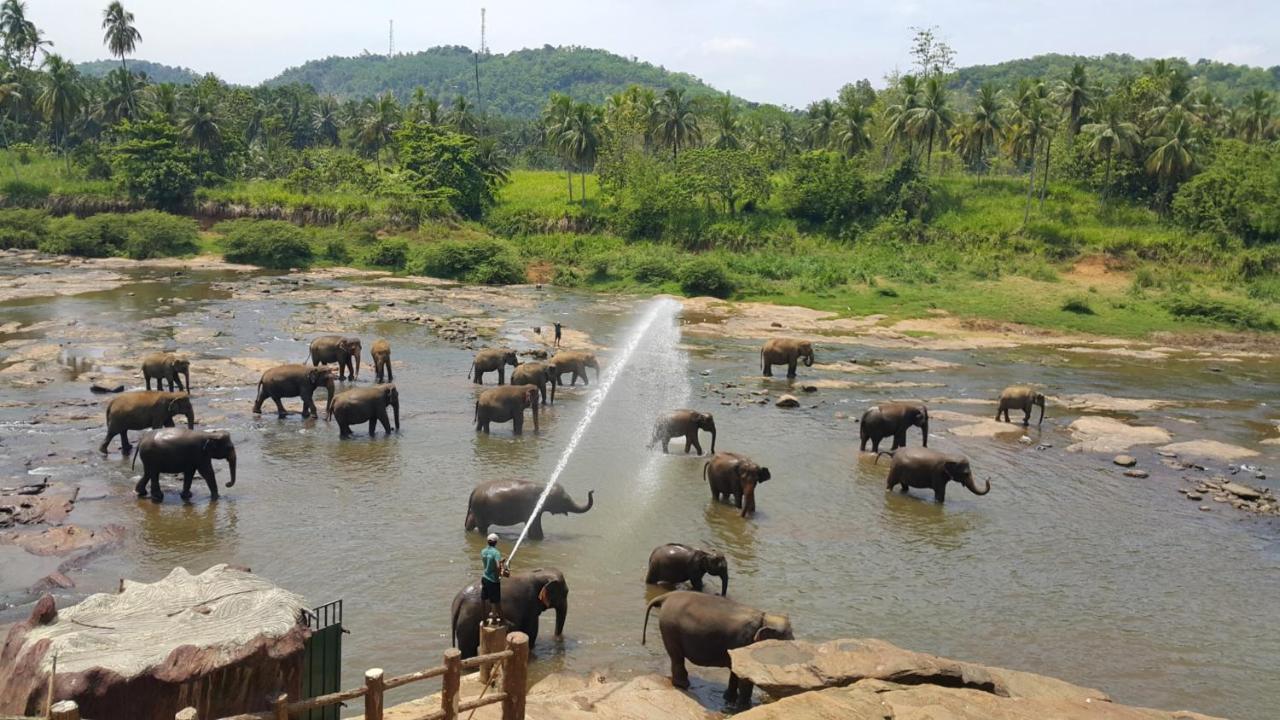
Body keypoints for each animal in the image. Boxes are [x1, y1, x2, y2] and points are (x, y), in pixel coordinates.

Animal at [465, 476, 593, 538]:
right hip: (481, 509)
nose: (591, 490)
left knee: (471, 523)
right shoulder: (531, 507)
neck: (544, 486)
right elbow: (534, 526)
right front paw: (539, 539)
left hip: (477, 509)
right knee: (482, 528)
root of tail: (474, 491)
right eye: (565, 500)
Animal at [645, 589, 793, 707]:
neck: (766, 617)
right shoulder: (744, 642)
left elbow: (735, 672)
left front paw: (729, 700)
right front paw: (743, 707)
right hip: (670, 628)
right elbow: (745, 679)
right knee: (677, 657)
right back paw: (683, 686)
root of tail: (666, 596)